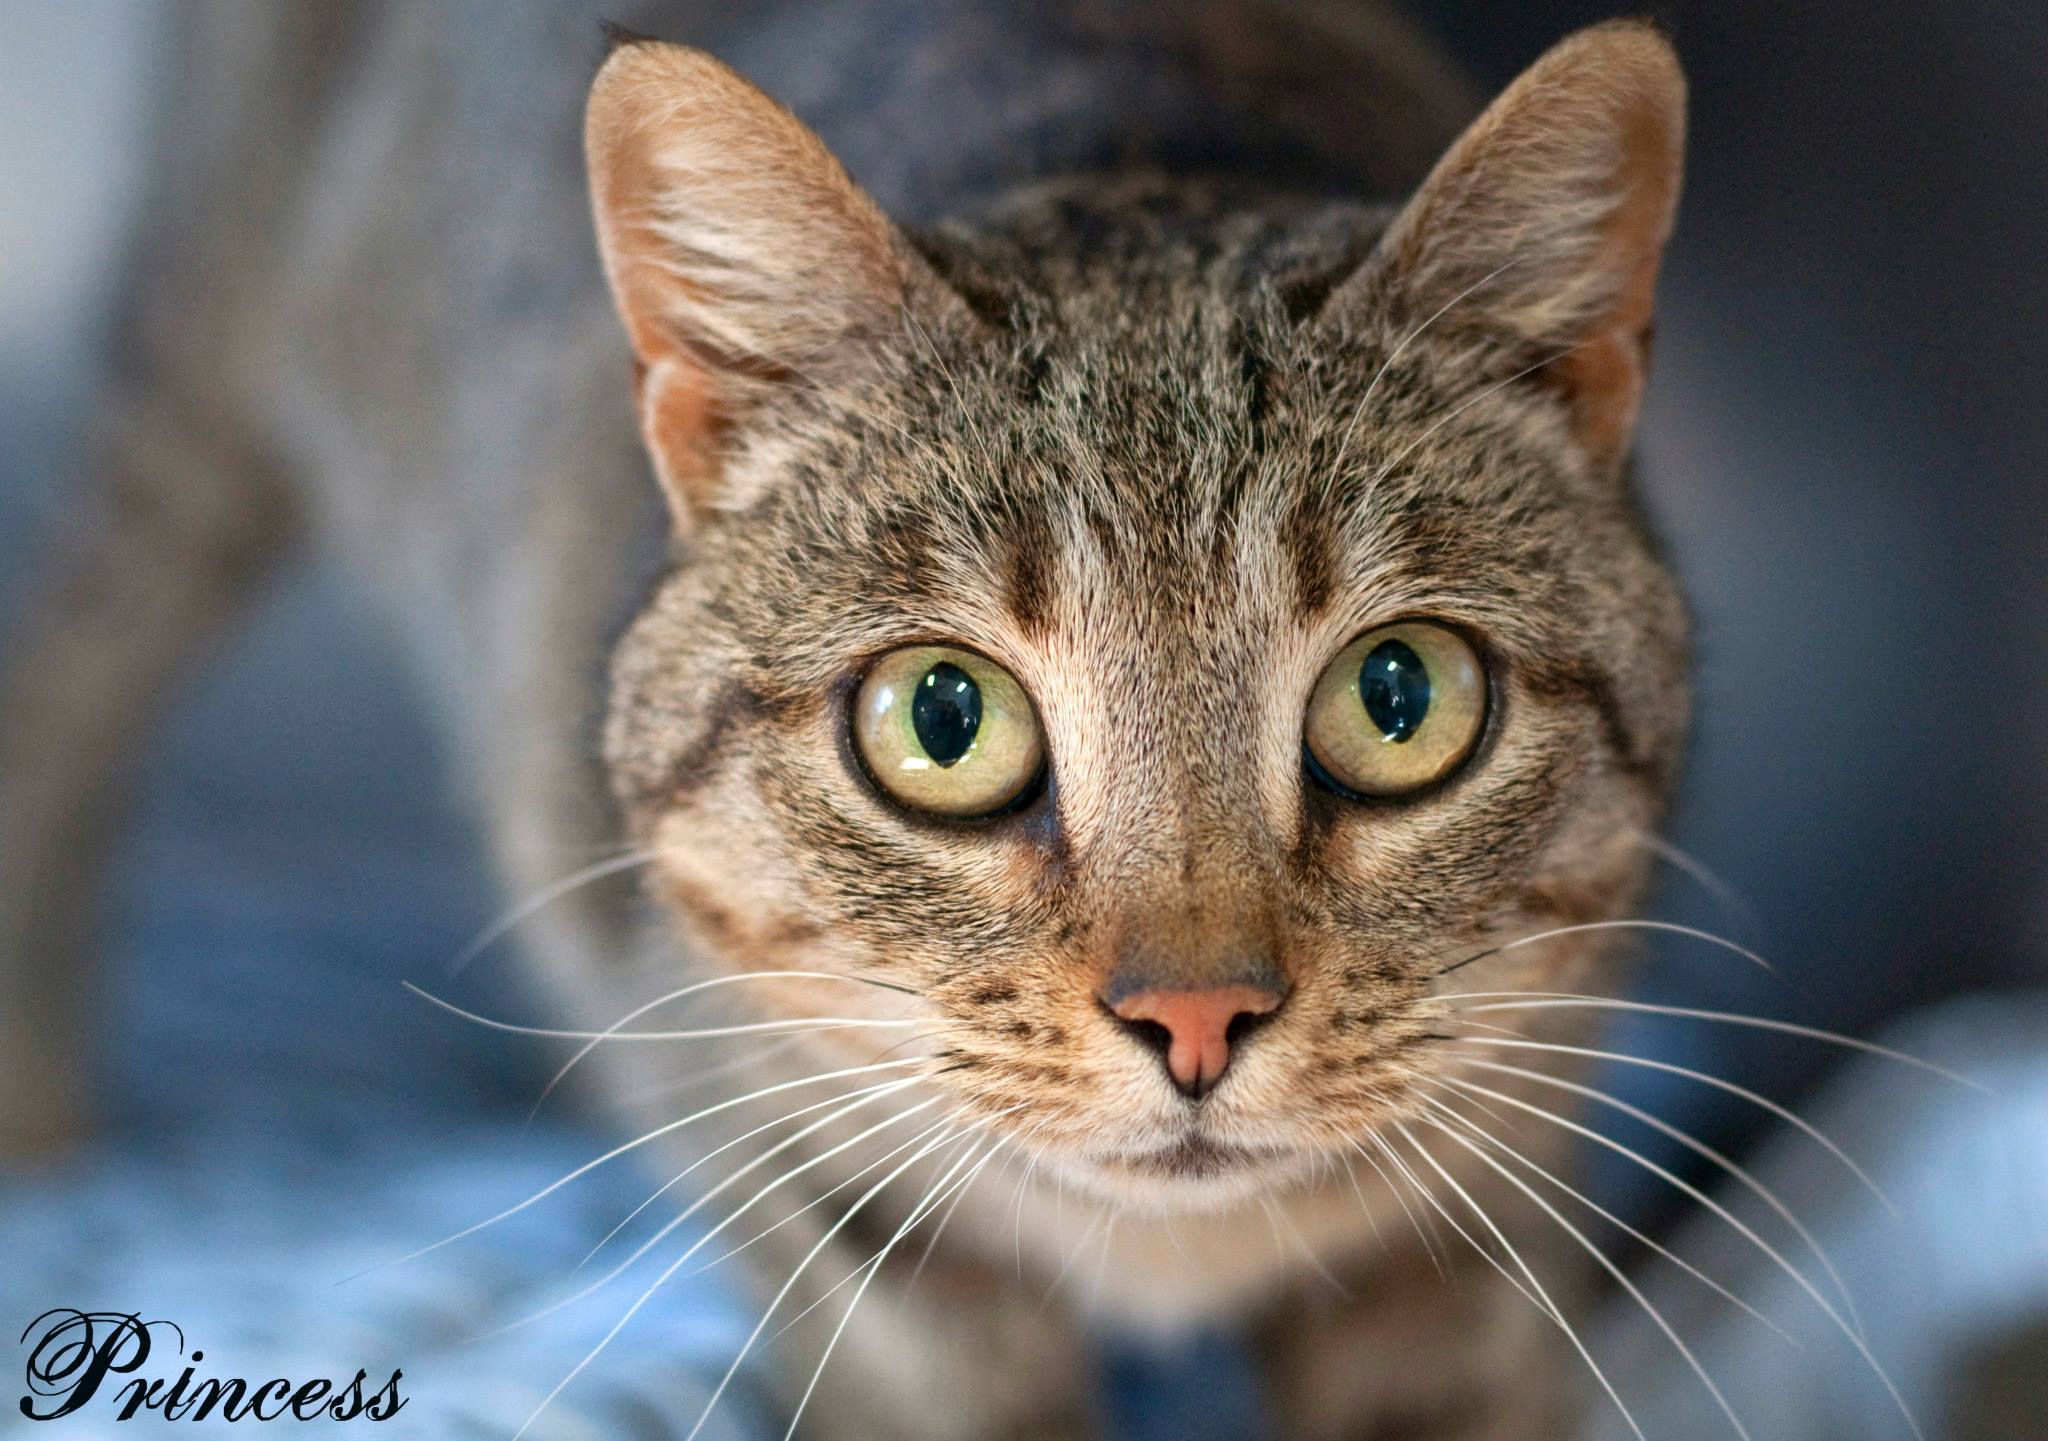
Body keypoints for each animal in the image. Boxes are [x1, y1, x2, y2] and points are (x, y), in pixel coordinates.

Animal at [0, 5, 1687, 1432]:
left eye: (1398, 699)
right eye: (944, 719)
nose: (1197, 1017)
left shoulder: (1495, 1194)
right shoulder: (792, 1167)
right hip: (195, 388)